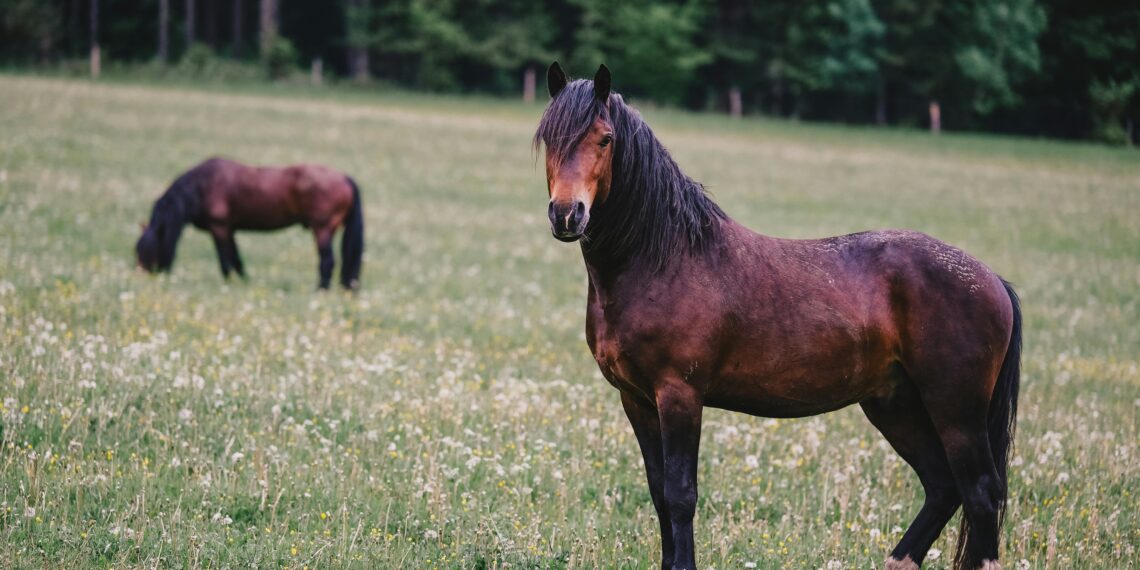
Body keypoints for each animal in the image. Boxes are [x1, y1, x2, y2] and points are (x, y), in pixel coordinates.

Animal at [136, 157, 364, 290]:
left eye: (146, 250)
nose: (142, 277)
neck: (202, 186)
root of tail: (345, 178)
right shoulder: (229, 230)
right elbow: (237, 260)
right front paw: (245, 282)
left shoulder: (219, 228)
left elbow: (225, 261)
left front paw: (228, 284)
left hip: (322, 229)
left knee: (327, 261)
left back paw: (320, 290)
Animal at [534, 63, 1021, 570]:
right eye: (548, 139)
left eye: (605, 139)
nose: (567, 215)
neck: (663, 259)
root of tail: (992, 280)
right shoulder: (637, 399)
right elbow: (659, 493)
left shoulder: (679, 395)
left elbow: (681, 495)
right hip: (894, 404)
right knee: (943, 487)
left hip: (955, 409)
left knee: (979, 492)